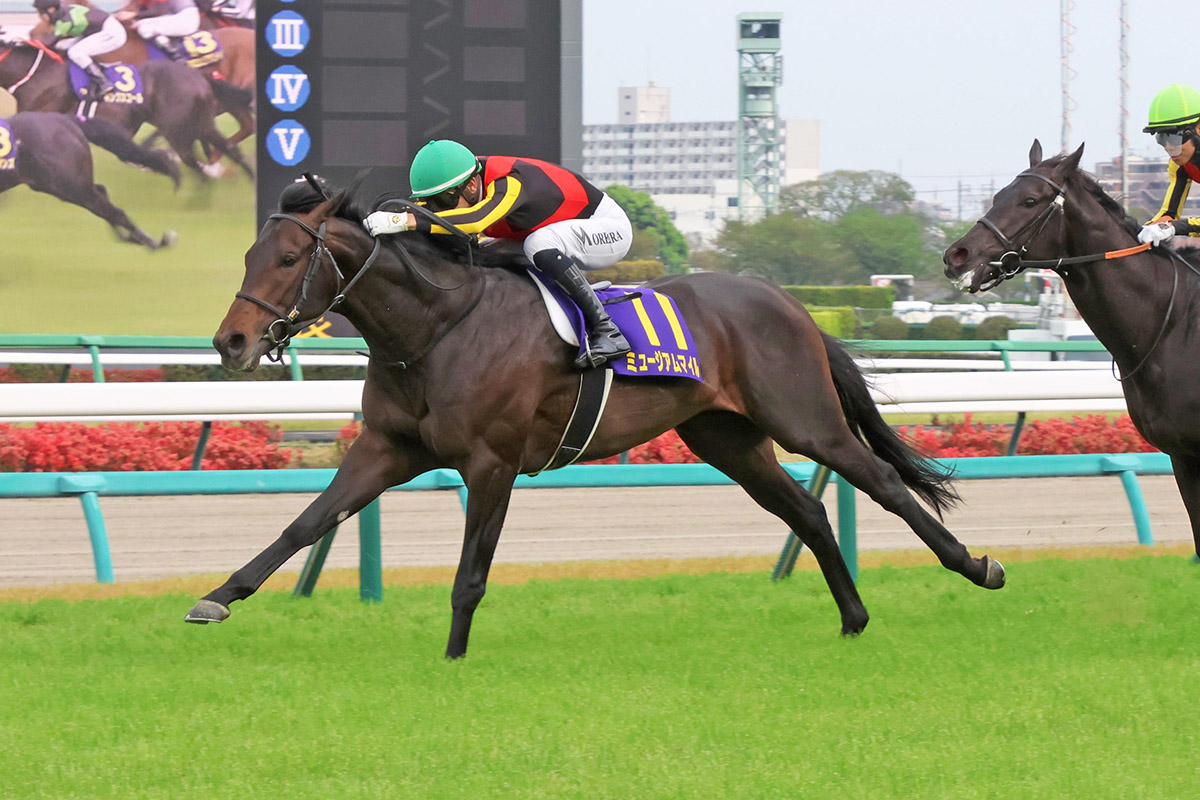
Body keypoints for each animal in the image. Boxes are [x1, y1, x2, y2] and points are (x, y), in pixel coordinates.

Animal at [0, 112, 174, 249]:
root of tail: (66, 121)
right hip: (57, 184)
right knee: (103, 197)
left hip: (71, 186)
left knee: (114, 211)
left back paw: (154, 242)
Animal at [184, 175, 1007, 659]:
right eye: (251, 255)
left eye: (289, 259)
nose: (231, 342)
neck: (436, 328)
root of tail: (790, 303)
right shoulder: (387, 449)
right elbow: (303, 525)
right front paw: (217, 599)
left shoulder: (492, 462)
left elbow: (470, 573)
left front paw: (452, 661)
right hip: (726, 437)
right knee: (806, 509)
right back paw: (853, 618)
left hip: (806, 420)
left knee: (885, 487)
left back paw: (976, 567)